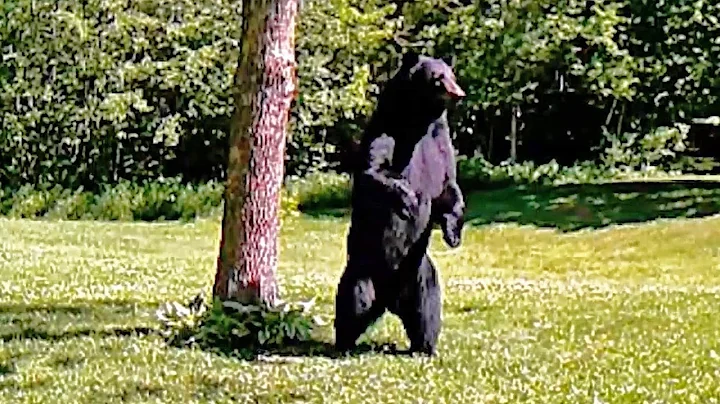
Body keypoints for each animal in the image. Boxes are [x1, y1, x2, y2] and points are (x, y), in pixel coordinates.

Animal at [334, 51, 466, 356]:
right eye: (438, 77)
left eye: (451, 74)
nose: (458, 93)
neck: (419, 120)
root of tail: (389, 300)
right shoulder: (386, 129)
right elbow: (374, 171)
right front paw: (410, 200)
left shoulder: (440, 142)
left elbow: (449, 187)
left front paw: (453, 232)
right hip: (364, 266)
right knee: (353, 299)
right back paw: (343, 343)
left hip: (419, 273)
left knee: (428, 307)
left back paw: (425, 346)